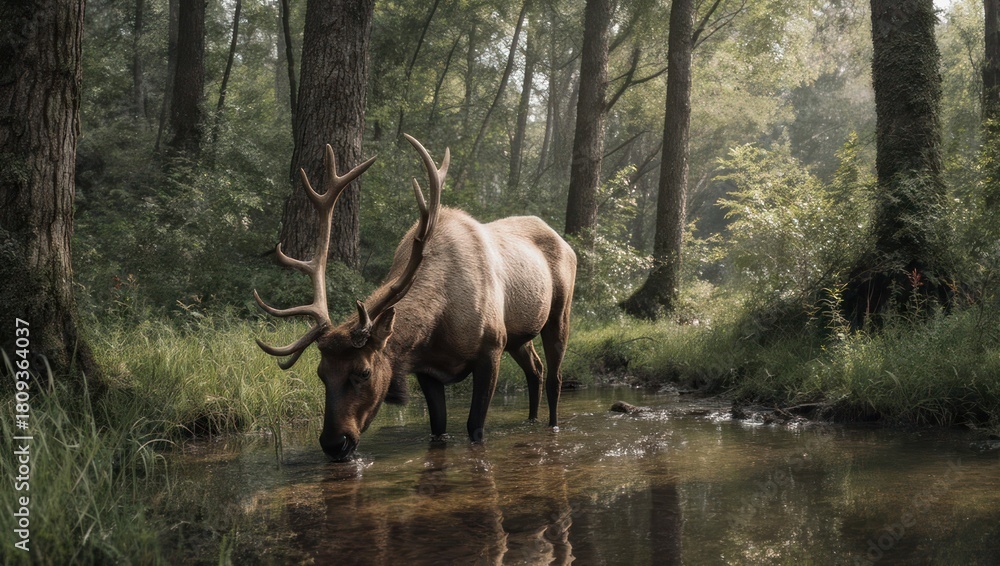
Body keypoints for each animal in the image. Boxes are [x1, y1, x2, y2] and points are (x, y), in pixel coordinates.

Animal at [254, 135, 576, 461]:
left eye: (363, 372)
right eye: (321, 373)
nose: (333, 443)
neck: (441, 324)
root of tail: (563, 241)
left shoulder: (491, 348)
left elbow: (475, 427)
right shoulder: (426, 369)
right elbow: (438, 429)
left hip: (558, 314)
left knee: (554, 378)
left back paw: (552, 425)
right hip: (519, 337)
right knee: (535, 370)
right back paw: (531, 421)